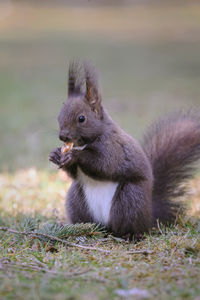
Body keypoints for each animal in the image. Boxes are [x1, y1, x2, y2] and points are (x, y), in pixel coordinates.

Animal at [49, 60, 200, 239]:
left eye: (81, 118)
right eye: (59, 116)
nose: (63, 136)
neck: (86, 142)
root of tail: (149, 216)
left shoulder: (115, 148)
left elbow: (104, 164)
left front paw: (75, 155)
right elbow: (74, 174)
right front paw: (55, 154)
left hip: (129, 199)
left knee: (128, 225)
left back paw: (129, 235)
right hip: (76, 200)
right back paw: (85, 230)